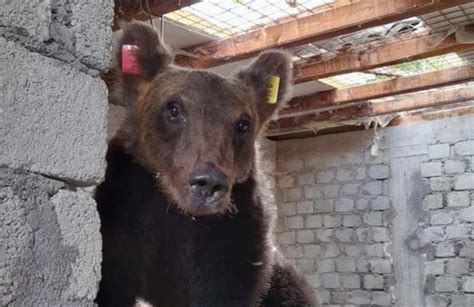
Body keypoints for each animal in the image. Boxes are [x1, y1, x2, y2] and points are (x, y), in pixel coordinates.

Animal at [95, 22, 318, 307]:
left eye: (242, 123)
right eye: (174, 108)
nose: (208, 183)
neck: (179, 212)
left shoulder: (234, 236)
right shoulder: (127, 209)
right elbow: (112, 278)